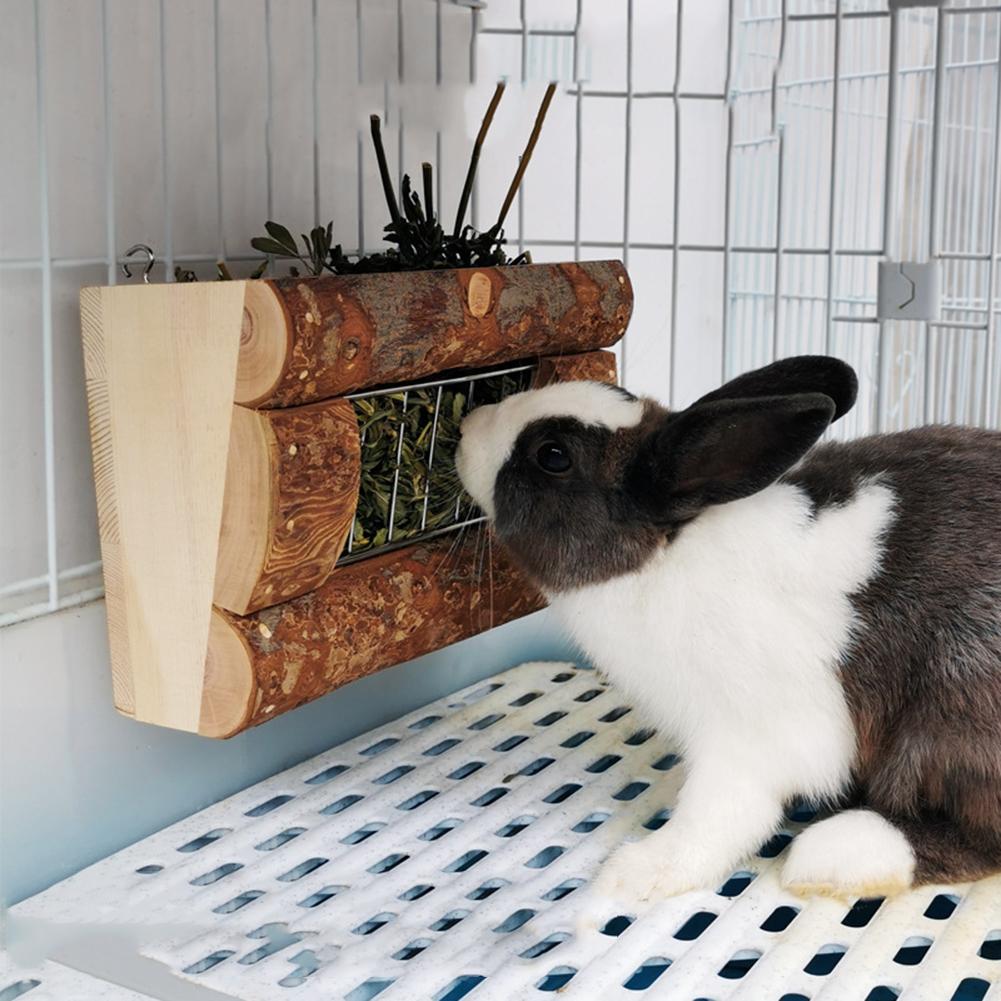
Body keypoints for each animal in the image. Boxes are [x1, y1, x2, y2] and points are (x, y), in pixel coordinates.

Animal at [454, 355, 1001, 906]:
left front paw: (637, 873)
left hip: (953, 711)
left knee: (979, 838)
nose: (467, 427)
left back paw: (833, 857)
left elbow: (715, 819)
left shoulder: (744, 738)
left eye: (553, 455)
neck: (666, 553)